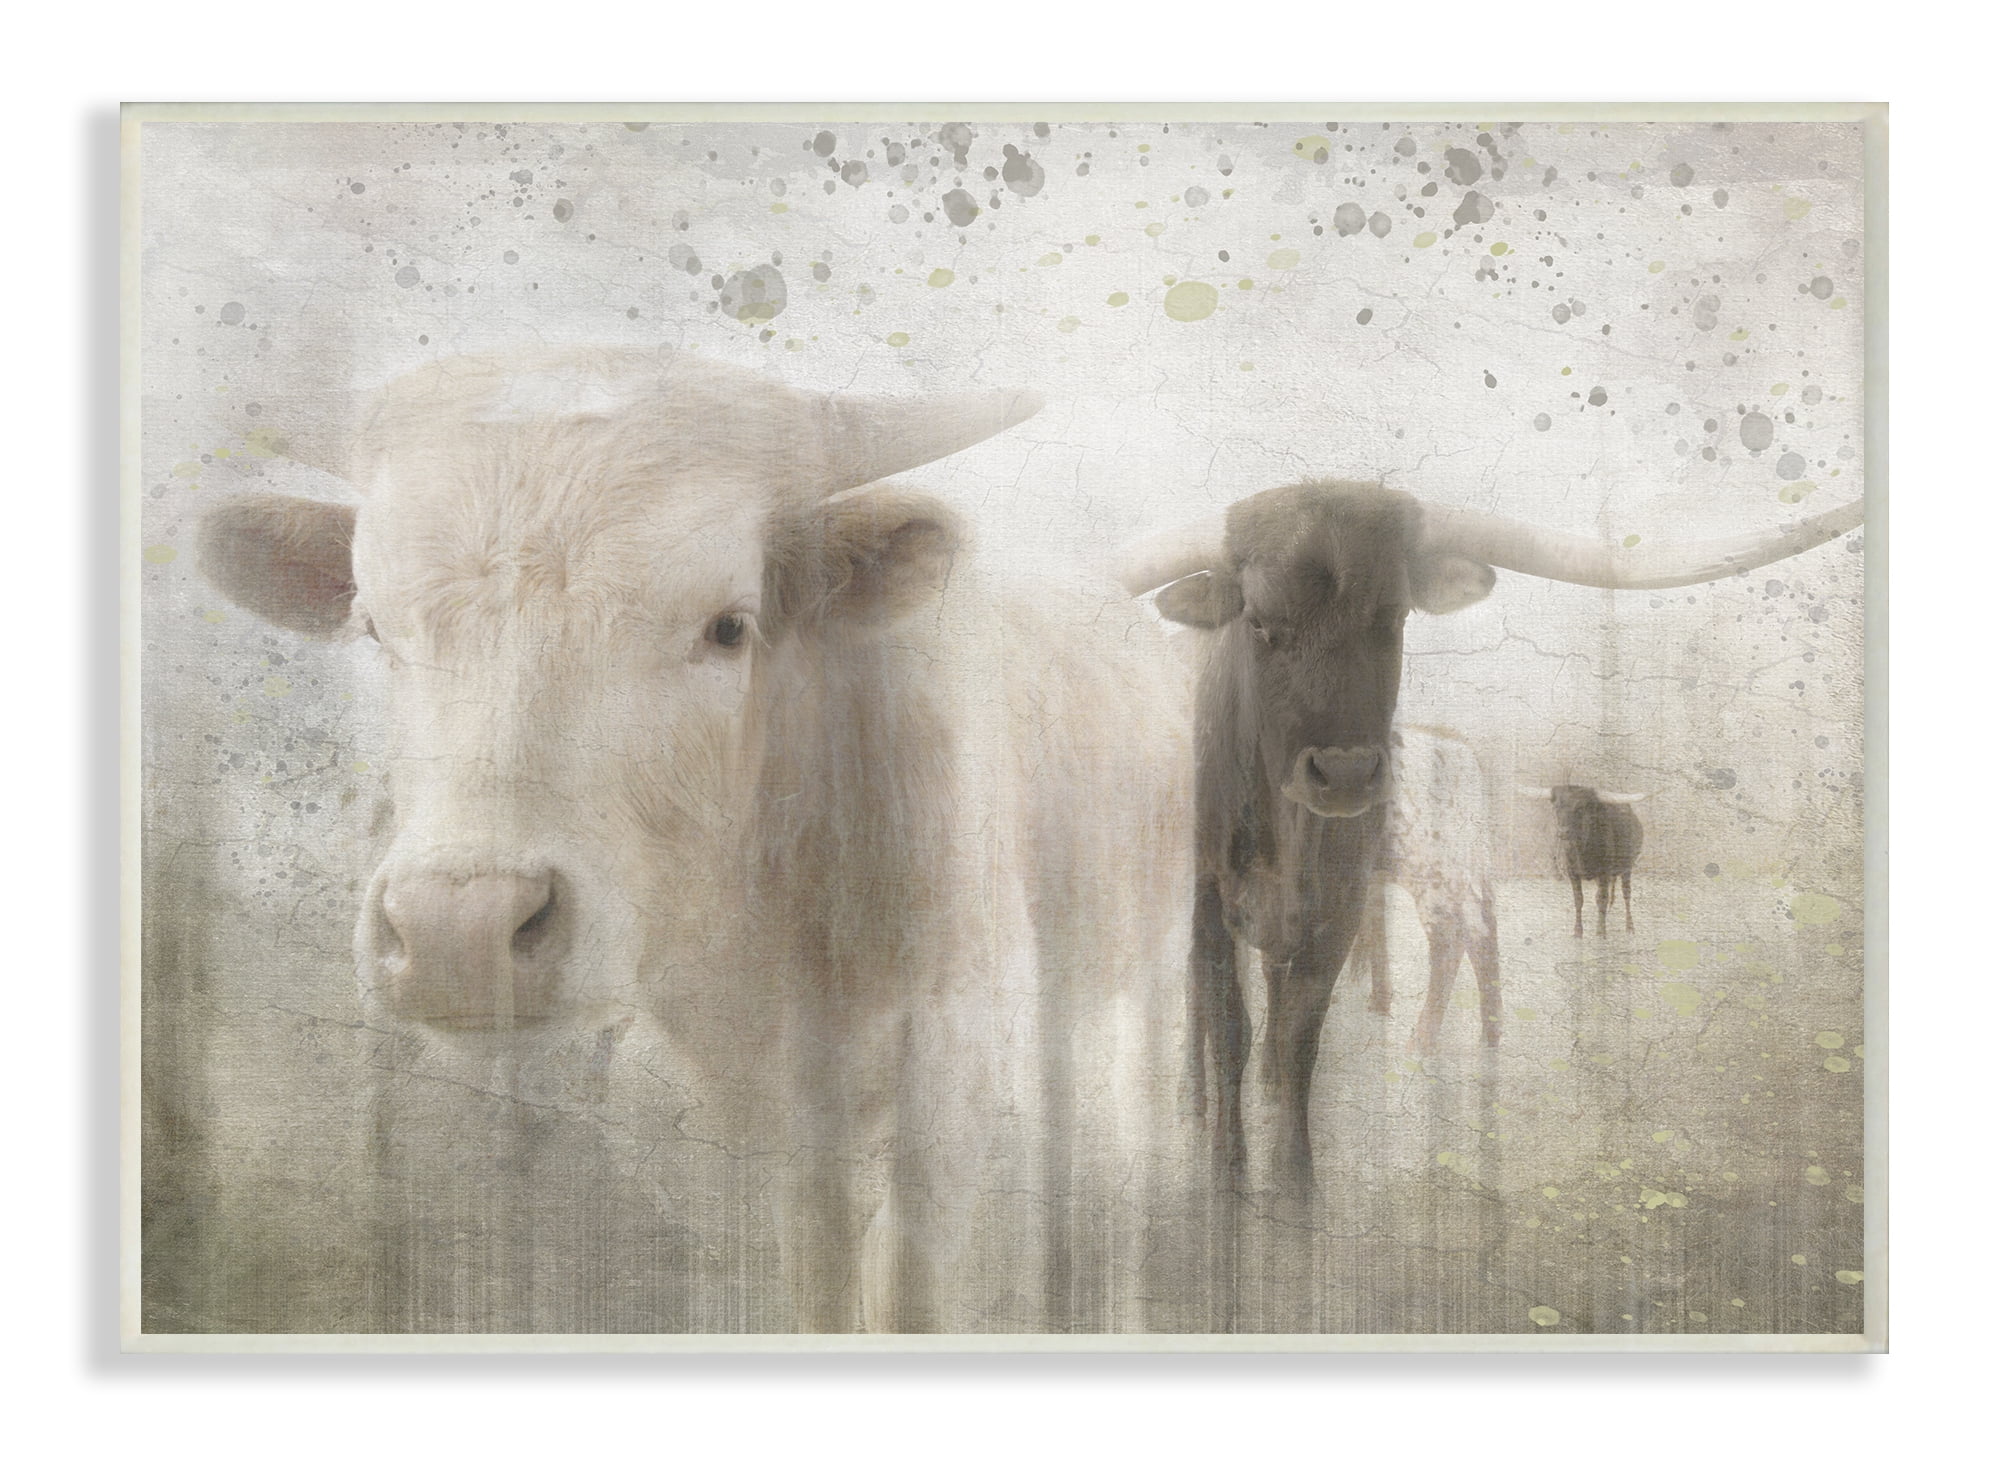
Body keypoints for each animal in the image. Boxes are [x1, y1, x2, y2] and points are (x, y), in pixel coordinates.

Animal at [194, 346, 1193, 1333]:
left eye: (728, 626)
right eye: (374, 626)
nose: (459, 929)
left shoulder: (950, 1058)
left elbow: (905, 1288)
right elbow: (808, 1275)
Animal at [1350, 726, 1502, 1055]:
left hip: (1428, 869)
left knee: (1452, 938)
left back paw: (1422, 1038)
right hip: (1464, 868)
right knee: (1483, 929)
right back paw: (1491, 1031)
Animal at [1520, 785, 1647, 937]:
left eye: (1580, 808)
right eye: (1557, 807)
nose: (1563, 832)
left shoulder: (1604, 873)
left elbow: (1602, 899)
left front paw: (1601, 932)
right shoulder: (1572, 873)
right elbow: (1579, 900)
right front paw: (1578, 932)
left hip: (1627, 868)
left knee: (1626, 894)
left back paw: (1629, 927)